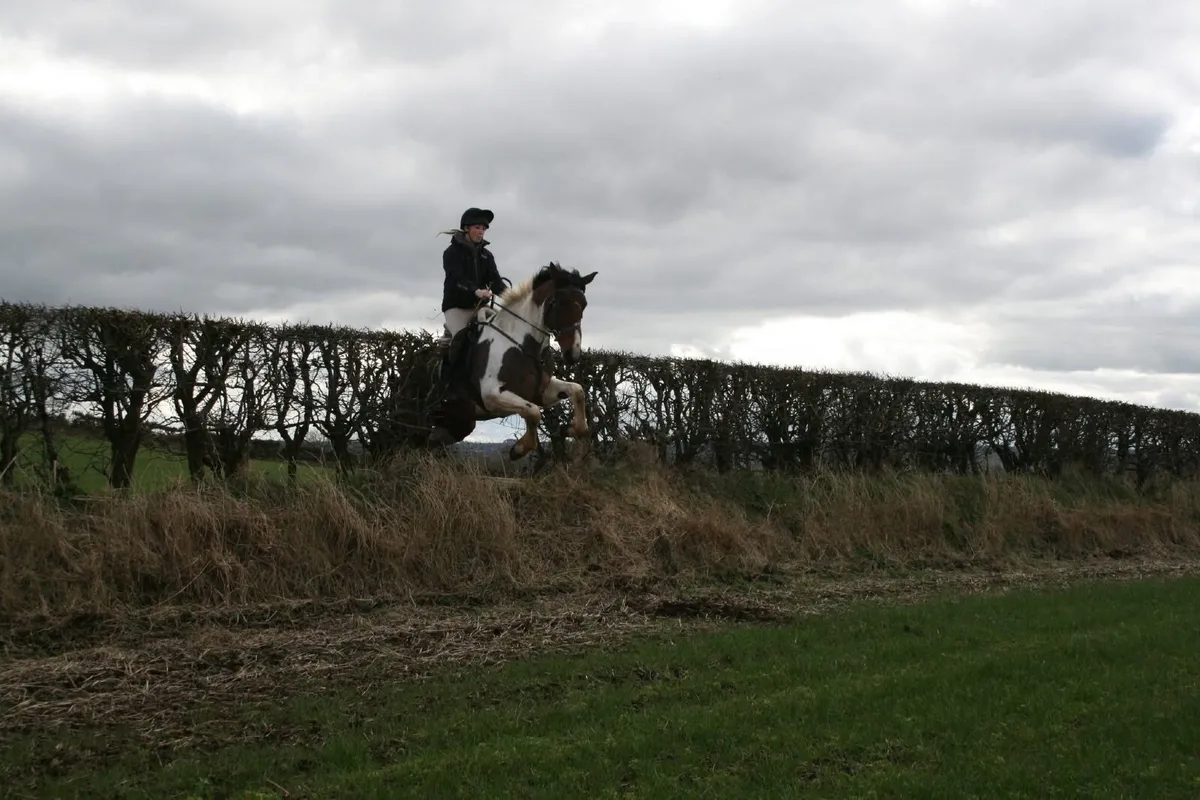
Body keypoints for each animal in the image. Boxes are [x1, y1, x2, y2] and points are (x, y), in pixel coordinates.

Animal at [427, 262, 598, 461]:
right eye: (559, 302)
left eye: (584, 305)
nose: (573, 354)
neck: (522, 344)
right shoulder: (493, 396)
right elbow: (533, 412)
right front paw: (519, 449)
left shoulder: (542, 393)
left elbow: (577, 391)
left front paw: (569, 429)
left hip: (458, 421)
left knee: (433, 441)